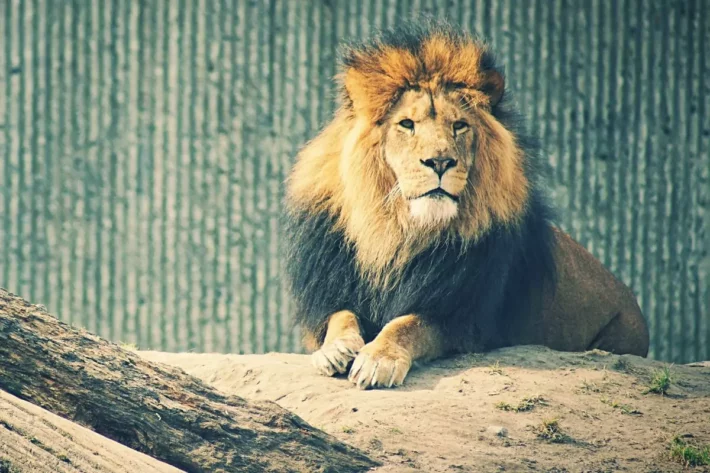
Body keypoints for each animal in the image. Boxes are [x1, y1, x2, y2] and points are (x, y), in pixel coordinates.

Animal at [283, 21, 649, 390]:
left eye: (459, 125)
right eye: (407, 124)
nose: (440, 161)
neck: (397, 231)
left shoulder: (461, 318)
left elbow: (406, 325)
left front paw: (378, 359)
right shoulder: (332, 287)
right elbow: (340, 316)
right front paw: (336, 349)